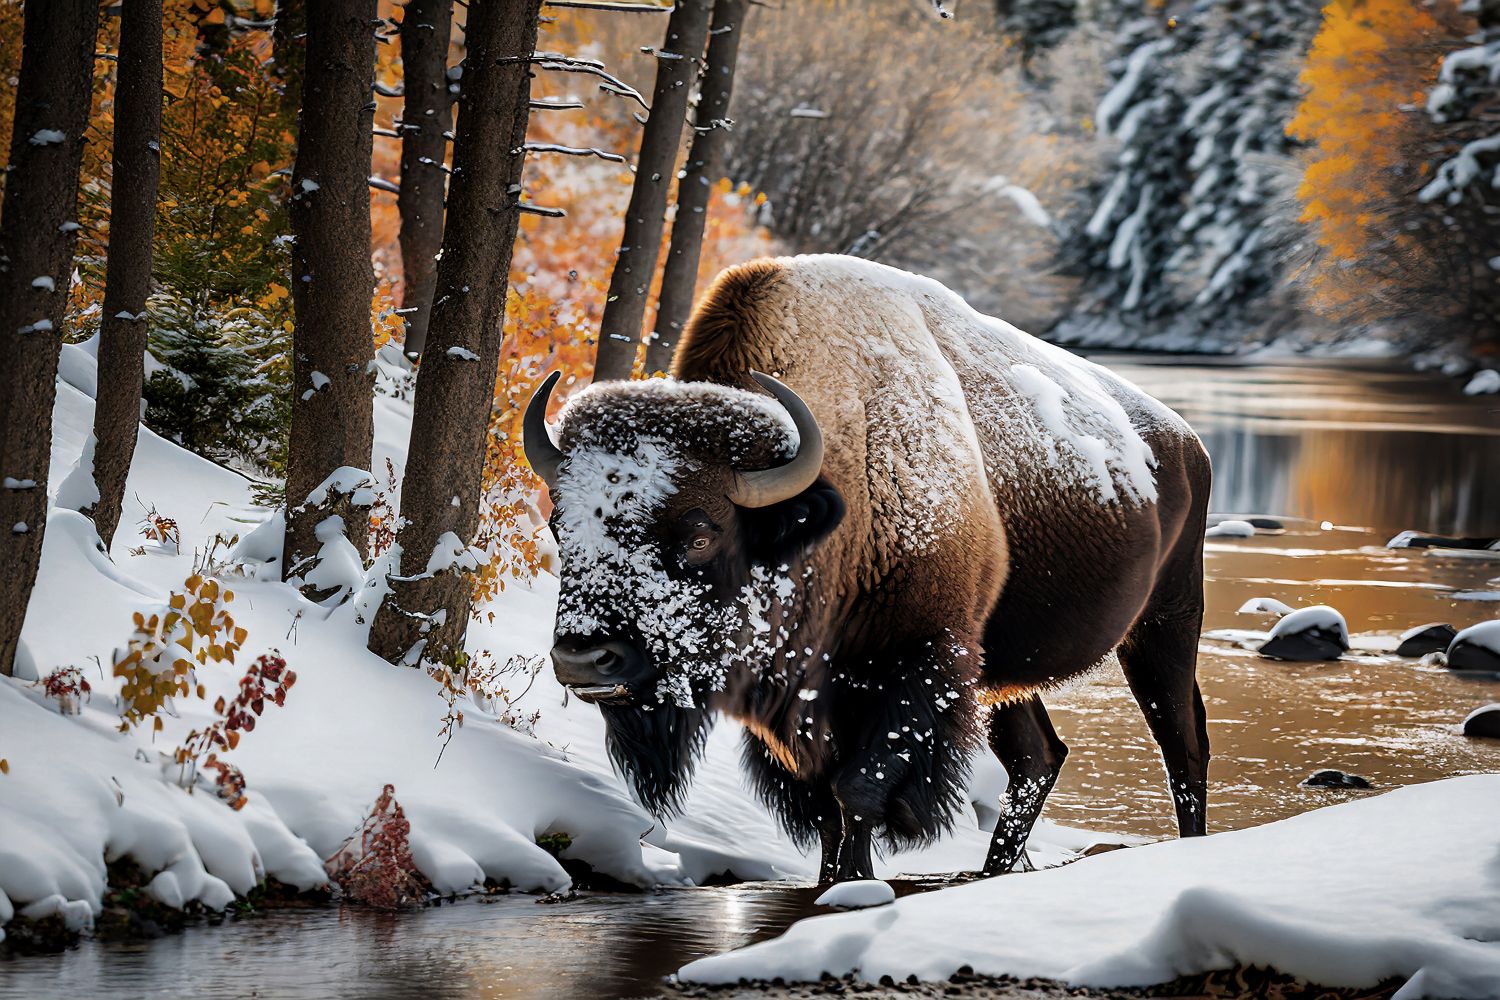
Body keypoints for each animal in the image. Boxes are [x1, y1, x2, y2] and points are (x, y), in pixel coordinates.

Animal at [525, 254, 1206, 881]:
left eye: (700, 533)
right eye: (561, 526)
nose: (585, 660)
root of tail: (1185, 441)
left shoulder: (921, 667)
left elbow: (858, 792)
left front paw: (850, 890)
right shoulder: (799, 706)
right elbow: (825, 808)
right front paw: (838, 885)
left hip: (1165, 626)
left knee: (1183, 741)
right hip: (1007, 672)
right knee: (1038, 756)